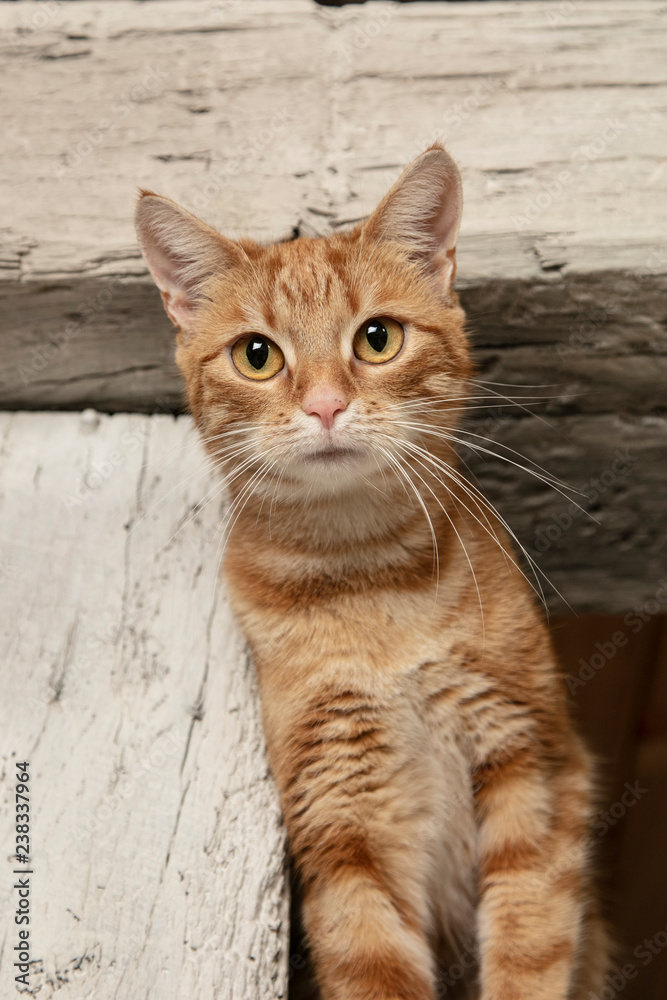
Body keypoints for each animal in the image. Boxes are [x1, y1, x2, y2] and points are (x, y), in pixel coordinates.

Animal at [136, 145, 612, 996]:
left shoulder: (533, 759)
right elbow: (373, 962)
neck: (364, 578)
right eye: (256, 354)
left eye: (377, 339)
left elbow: (529, 946)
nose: (326, 405)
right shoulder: (341, 827)